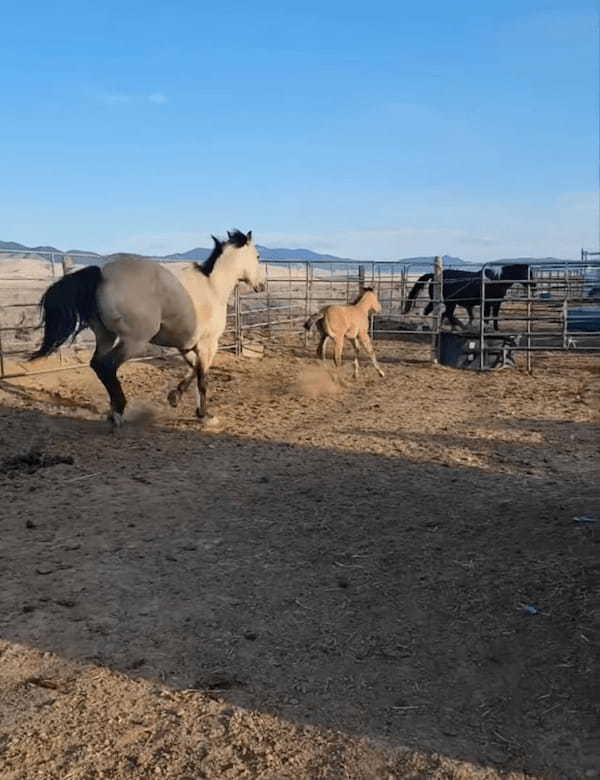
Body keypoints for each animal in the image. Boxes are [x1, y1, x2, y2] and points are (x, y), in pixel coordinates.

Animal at [31, 229, 264, 430]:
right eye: (258, 256)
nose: (261, 285)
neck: (213, 287)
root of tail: (102, 275)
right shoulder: (208, 344)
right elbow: (202, 378)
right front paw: (205, 416)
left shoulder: (186, 345)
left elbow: (192, 370)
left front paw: (174, 397)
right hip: (134, 341)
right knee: (107, 366)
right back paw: (118, 412)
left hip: (106, 336)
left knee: (97, 364)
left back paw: (113, 410)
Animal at [400, 266, 532, 330]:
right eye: (528, 273)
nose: (534, 285)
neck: (496, 280)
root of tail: (434, 275)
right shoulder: (487, 303)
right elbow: (486, 317)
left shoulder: (496, 303)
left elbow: (494, 317)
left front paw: (496, 329)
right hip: (447, 302)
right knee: (441, 313)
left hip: (444, 302)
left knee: (441, 313)